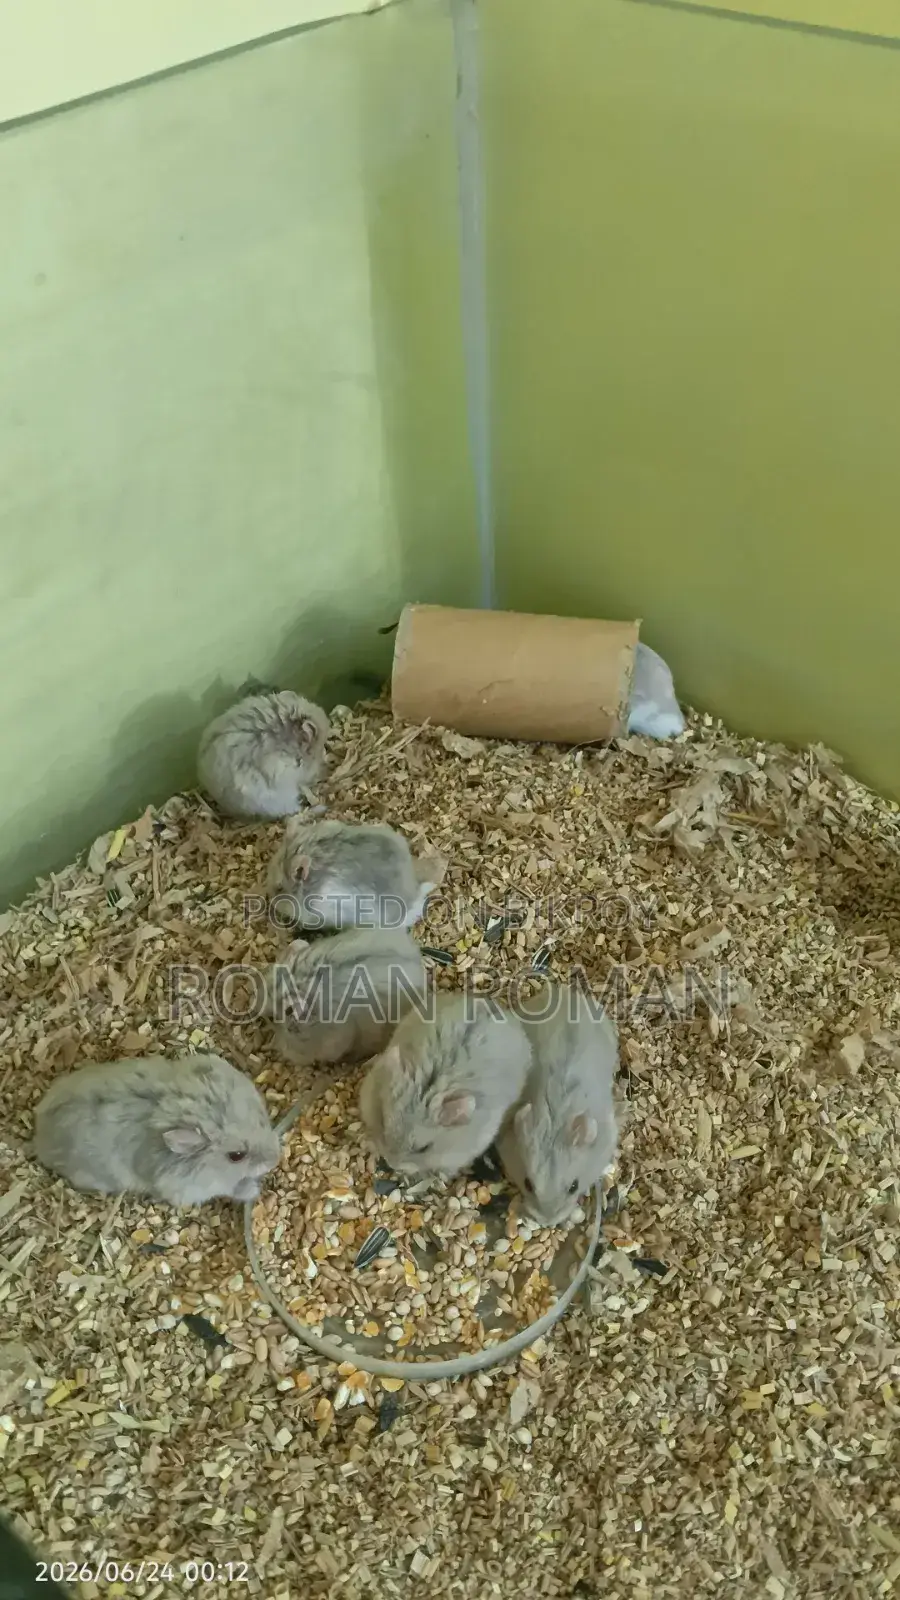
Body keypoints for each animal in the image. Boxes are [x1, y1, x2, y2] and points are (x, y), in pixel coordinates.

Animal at [33, 1053, 281, 1206]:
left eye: (262, 1119)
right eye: (236, 1156)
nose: (276, 1160)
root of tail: (38, 1134)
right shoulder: (192, 1188)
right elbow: (230, 1188)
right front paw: (253, 1190)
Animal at [359, 992, 531, 1178]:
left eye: (423, 1149)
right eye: (383, 1123)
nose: (391, 1164)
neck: (428, 1088)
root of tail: (497, 1006)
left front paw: (441, 1176)